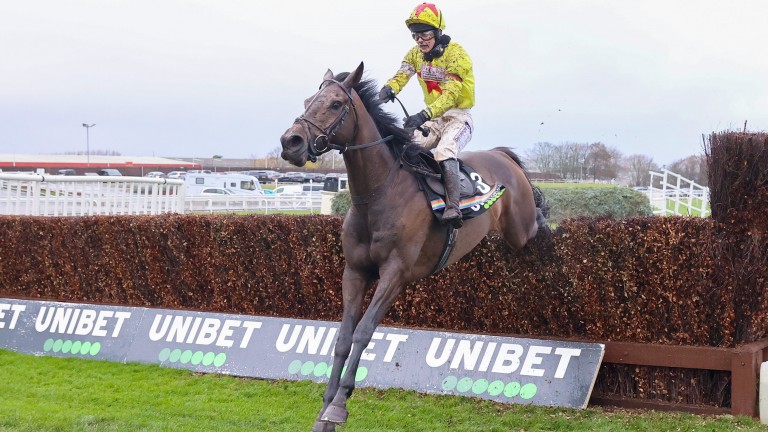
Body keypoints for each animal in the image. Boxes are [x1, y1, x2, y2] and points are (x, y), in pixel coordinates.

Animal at [280, 61, 548, 432]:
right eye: (308, 101)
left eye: (335, 104)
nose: (290, 142)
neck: (379, 194)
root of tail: (500, 156)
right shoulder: (355, 271)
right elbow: (343, 337)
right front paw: (324, 411)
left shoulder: (396, 273)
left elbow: (364, 332)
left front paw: (339, 406)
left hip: (518, 229)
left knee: (534, 221)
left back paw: (547, 215)